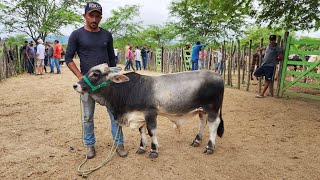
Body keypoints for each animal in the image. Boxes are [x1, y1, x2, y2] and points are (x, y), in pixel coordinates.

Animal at [74, 63, 225, 159]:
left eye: (95, 74)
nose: (76, 85)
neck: (128, 89)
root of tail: (218, 75)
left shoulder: (151, 113)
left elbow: (151, 131)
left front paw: (153, 150)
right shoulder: (140, 115)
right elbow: (142, 131)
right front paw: (141, 148)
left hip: (212, 109)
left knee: (213, 125)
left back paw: (209, 147)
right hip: (202, 110)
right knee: (203, 123)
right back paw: (196, 140)